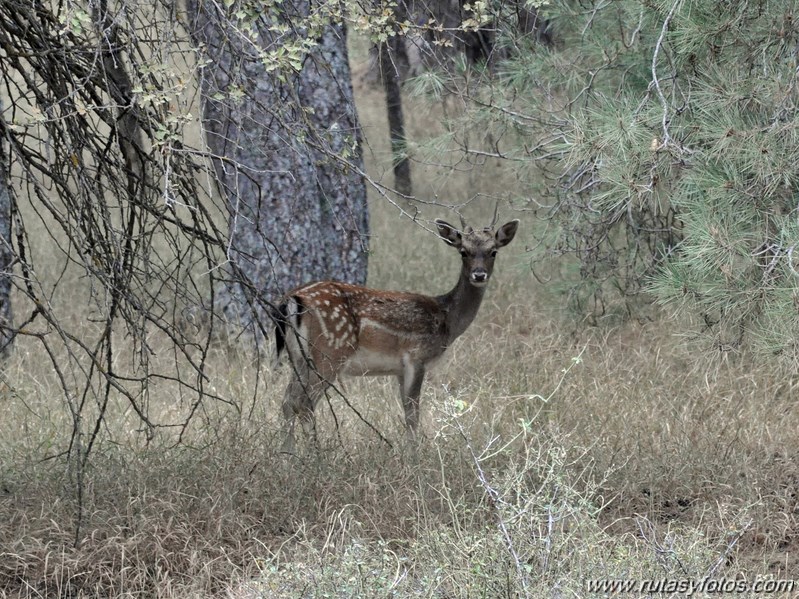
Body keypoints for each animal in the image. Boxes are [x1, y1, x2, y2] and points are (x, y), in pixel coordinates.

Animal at [274, 213, 520, 452]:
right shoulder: (416, 357)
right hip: (330, 351)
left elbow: (405, 410)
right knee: (304, 402)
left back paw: (287, 453)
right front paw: (413, 456)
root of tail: (293, 299)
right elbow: (413, 414)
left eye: (493, 251)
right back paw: (315, 455)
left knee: (287, 400)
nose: (479, 275)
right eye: (463, 252)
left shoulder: (399, 369)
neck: (447, 321)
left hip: (298, 356)